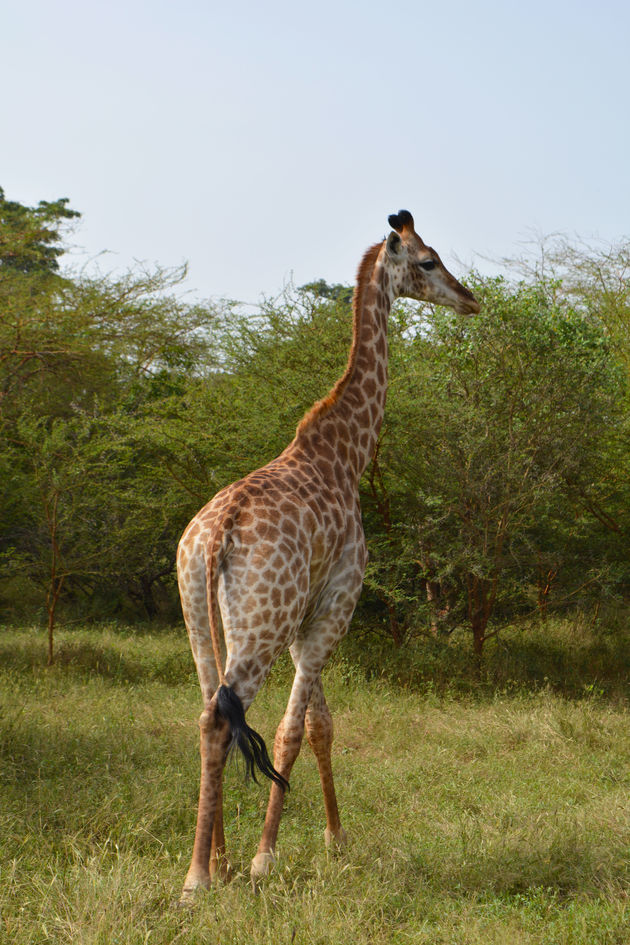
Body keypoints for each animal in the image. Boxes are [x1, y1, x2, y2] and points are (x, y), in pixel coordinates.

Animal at [175, 210, 482, 896]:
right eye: (428, 261)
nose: (471, 299)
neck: (347, 455)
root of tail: (214, 535)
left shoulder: (308, 615)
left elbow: (320, 725)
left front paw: (335, 840)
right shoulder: (337, 601)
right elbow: (293, 729)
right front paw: (268, 857)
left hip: (201, 619)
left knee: (208, 713)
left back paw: (217, 860)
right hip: (258, 627)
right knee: (224, 719)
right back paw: (199, 878)